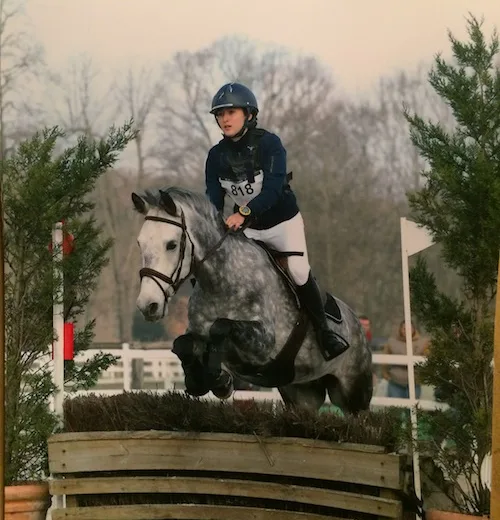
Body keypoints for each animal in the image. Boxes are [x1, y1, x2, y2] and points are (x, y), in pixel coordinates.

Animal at [131, 187, 374, 414]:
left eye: (171, 244)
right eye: (140, 244)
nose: (148, 305)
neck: (222, 280)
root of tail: (358, 325)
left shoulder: (263, 343)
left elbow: (221, 327)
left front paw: (219, 379)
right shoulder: (197, 332)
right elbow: (182, 344)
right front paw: (200, 380)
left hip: (353, 392)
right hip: (302, 394)